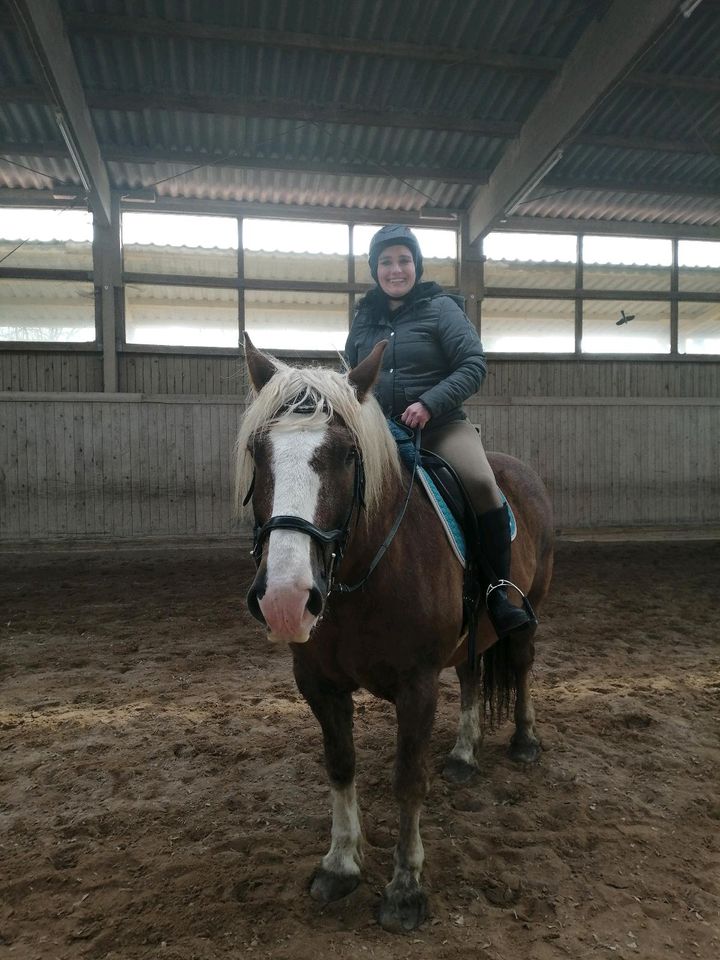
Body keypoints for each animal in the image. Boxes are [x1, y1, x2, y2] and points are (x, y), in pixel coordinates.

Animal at [236, 336, 556, 928]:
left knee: (521, 666)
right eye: (257, 451)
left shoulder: (417, 685)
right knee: (473, 677)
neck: (366, 572)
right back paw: (463, 755)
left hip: (529, 610)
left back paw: (524, 741)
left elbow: (408, 778)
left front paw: (406, 888)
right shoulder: (317, 683)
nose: (286, 600)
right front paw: (340, 865)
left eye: (347, 454)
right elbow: (341, 766)